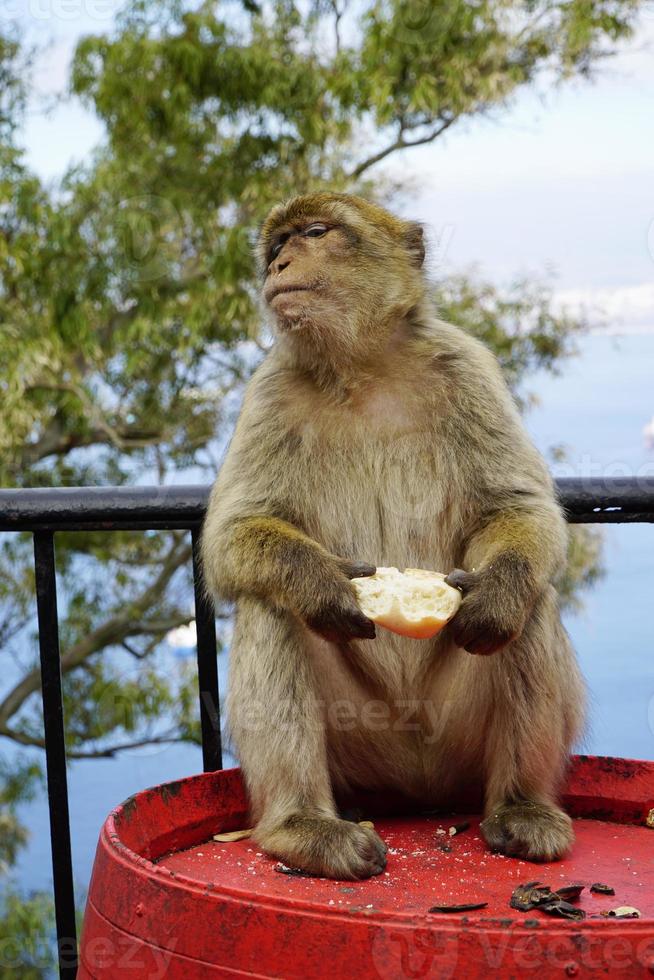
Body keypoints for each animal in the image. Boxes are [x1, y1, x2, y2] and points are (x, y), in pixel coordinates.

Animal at [201, 191, 588, 880]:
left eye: (314, 232)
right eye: (276, 245)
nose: (279, 265)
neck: (363, 368)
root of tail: (417, 788)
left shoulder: (467, 366)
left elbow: (517, 510)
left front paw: (496, 594)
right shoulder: (269, 390)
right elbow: (232, 535)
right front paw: (321, 585)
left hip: (454, 738)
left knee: (533, 602)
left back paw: (521, 805)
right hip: (362, 746)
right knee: (268, 606)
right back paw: (304, 826)